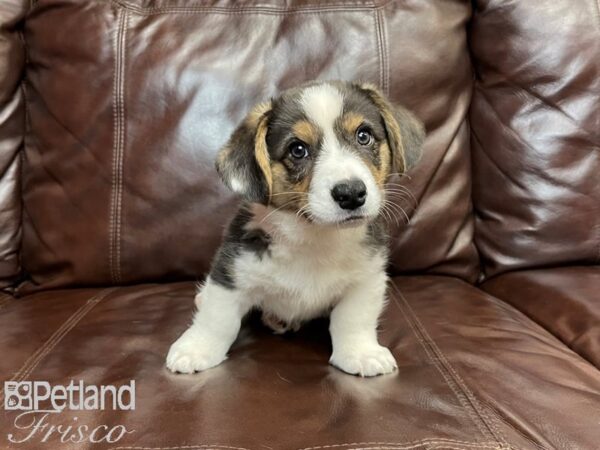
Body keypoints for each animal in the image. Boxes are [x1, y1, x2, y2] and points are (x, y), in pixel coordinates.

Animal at [166, 80, 424, 376]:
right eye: (298, 149)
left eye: (363, 136)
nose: (351, 194)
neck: (314, 236)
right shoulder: (231, 270)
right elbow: (217, 319)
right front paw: (196, 349)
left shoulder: (367, 279)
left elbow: (353, 319)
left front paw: (361, 353)